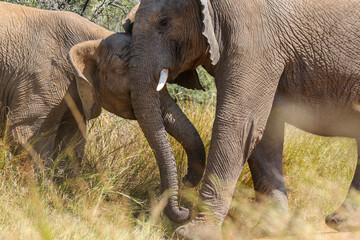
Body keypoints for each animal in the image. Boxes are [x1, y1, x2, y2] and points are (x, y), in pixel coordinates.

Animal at [0, 1, 205, 207]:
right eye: (129, 72)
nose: (186, 180)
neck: (95, 39)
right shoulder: (42, 77)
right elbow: (27, 135)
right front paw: (43, 197)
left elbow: (72, 142)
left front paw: (72, 196)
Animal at [126, 0, 360, 239]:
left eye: (164, 22)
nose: (184, 207)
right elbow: (263, 134)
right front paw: (272, 231)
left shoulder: (255, 40)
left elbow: (238, 125)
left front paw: (191, 234)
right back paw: (340, 223)